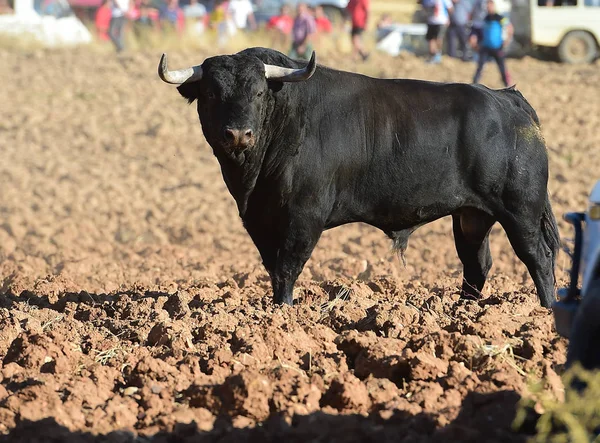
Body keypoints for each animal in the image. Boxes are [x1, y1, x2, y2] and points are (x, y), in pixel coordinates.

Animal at [157, 46, 560, 306]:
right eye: (211, 92)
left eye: (257, 92)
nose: (239, 134)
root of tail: (507, 99)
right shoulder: (259, 220)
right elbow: (273, 268)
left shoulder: (304, 217)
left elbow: (287, 269)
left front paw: (283, 313)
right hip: (472, 216)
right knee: (476, 264)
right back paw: (464, 312)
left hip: (520, 211)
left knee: (539, 258)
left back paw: (546, 310)